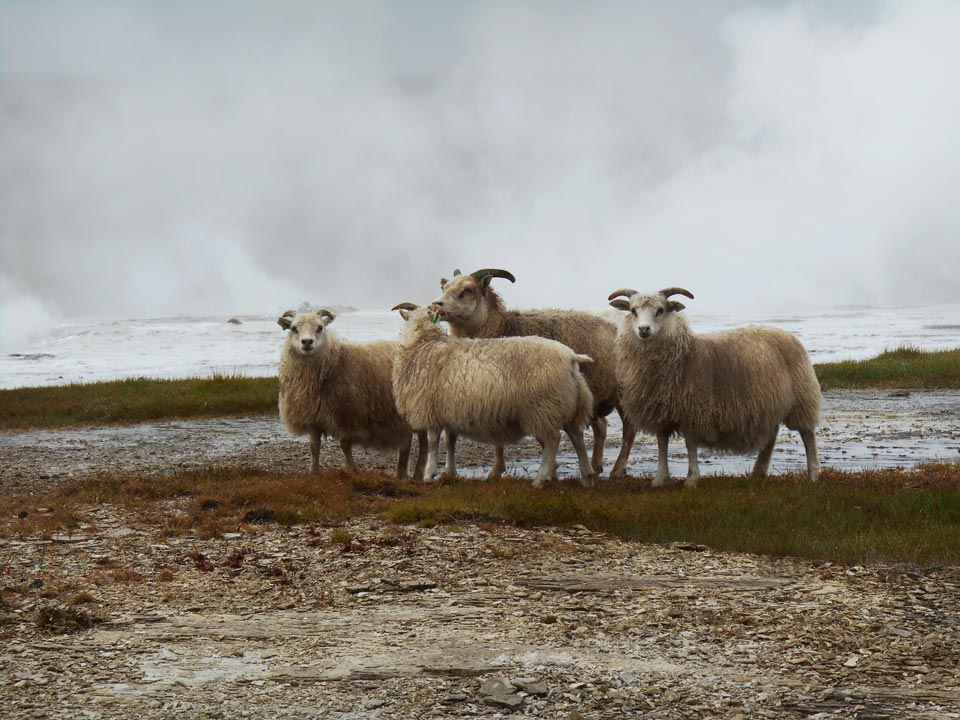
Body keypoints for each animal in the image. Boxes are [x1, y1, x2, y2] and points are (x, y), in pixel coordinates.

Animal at [280, 308, 426, 480]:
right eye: (293, 328)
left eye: (320, 328)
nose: (307, 342)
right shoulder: (314, 417)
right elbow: (313, 447)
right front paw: (314, 473)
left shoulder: (346, 415)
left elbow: (344, 446)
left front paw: (351, 470)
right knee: (407, 442)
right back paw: (400, 474)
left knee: (423, 443)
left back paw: (417, 475)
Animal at [388, 300, 596, 486]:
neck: (424, 342)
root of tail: (571, 357)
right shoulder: (450, 409)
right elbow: (451, 442)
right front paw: (450, 472)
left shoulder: (430, 408)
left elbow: (432, 443)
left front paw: (429, 474)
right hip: (567, 403)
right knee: (577, 437)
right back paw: (587, 477)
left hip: (544, 407)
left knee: (554, 440)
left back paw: (540, 479)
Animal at [436, 268, 636, 480]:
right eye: (445, 287)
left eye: (468, 289)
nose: (438, 305)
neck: (500, 327)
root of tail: (616, 328)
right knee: (602, 427)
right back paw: (596, 466)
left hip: (624, 393)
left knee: (629, 431)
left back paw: (617, 469)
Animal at [612, 286, 820, 484]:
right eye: (633, 311)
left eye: (660, 310)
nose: (644, 329)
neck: (684, 355)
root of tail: (784, 333)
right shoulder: (659, 412)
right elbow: (662, 443)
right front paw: (660, 478)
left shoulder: (692, 411)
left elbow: (690, 445)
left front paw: (692, 478)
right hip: (770, 402)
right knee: (772, 434)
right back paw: (758, 471)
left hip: (802, 398)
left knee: (807, 435)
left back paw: (813, 474)